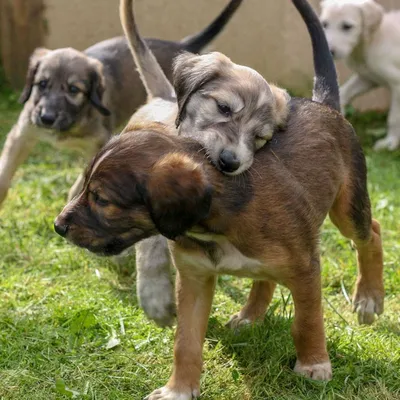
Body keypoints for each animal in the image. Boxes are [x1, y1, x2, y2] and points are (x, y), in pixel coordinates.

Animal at [0, 0, 242, 206]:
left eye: (73, 90)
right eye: (42, 84)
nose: (46, 118)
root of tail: (181, 44)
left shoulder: (99, 143)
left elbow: (83, 180)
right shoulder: (21, 134)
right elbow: (5, 172)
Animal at [54, 0, 384, 396]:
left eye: (102, 200)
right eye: (84, 187)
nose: (57, 225)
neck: (217, 225)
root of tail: (324, 103)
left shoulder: (306, 269)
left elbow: (308, 320)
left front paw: (314, 365)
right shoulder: (194, 278)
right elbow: (186, 341)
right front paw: (179, 389)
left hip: (348, 207)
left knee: (371, 232)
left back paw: (368, 298)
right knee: (265, 277)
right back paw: (249, 315)